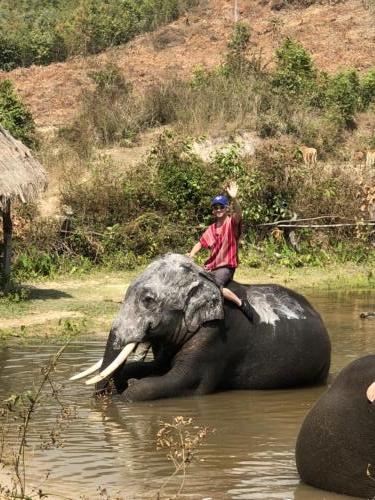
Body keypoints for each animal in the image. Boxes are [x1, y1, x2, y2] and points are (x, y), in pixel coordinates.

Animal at [71, 254, 332, 402]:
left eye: (148, 300)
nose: (103, 398)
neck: (203, 280)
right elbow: (156, 368)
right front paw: (123, 384)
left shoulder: (215, 336)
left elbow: (183, 381)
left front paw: (124, 396)